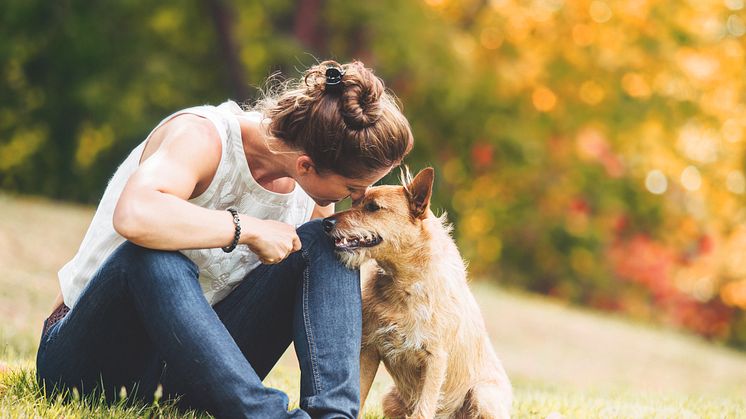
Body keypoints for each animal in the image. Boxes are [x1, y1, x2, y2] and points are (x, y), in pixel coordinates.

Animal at [320, 169, 512, 418]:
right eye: (355, 202)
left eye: (373, 207)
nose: (325, 223)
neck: (405, 284)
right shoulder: (369, 349)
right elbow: (359, 395)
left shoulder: (435, 359)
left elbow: (424, 409)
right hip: (390, 399)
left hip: (483, 396)